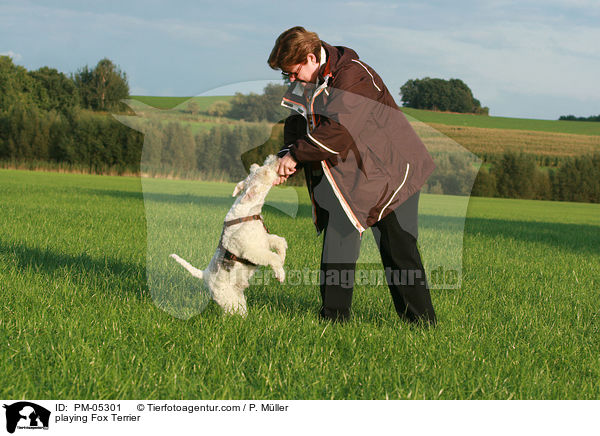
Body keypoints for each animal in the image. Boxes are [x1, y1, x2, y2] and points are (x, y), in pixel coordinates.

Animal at [170, 155, 288, 316]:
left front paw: (282, 258)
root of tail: (205, 274)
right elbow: (272, 257)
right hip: (227, 298)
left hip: (237, 298)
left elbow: (279, 242)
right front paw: (280, 275)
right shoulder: (251, 251)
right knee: (231, 313)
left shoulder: (264, 239)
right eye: (262, 171)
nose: (276, 157)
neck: (248, 211)